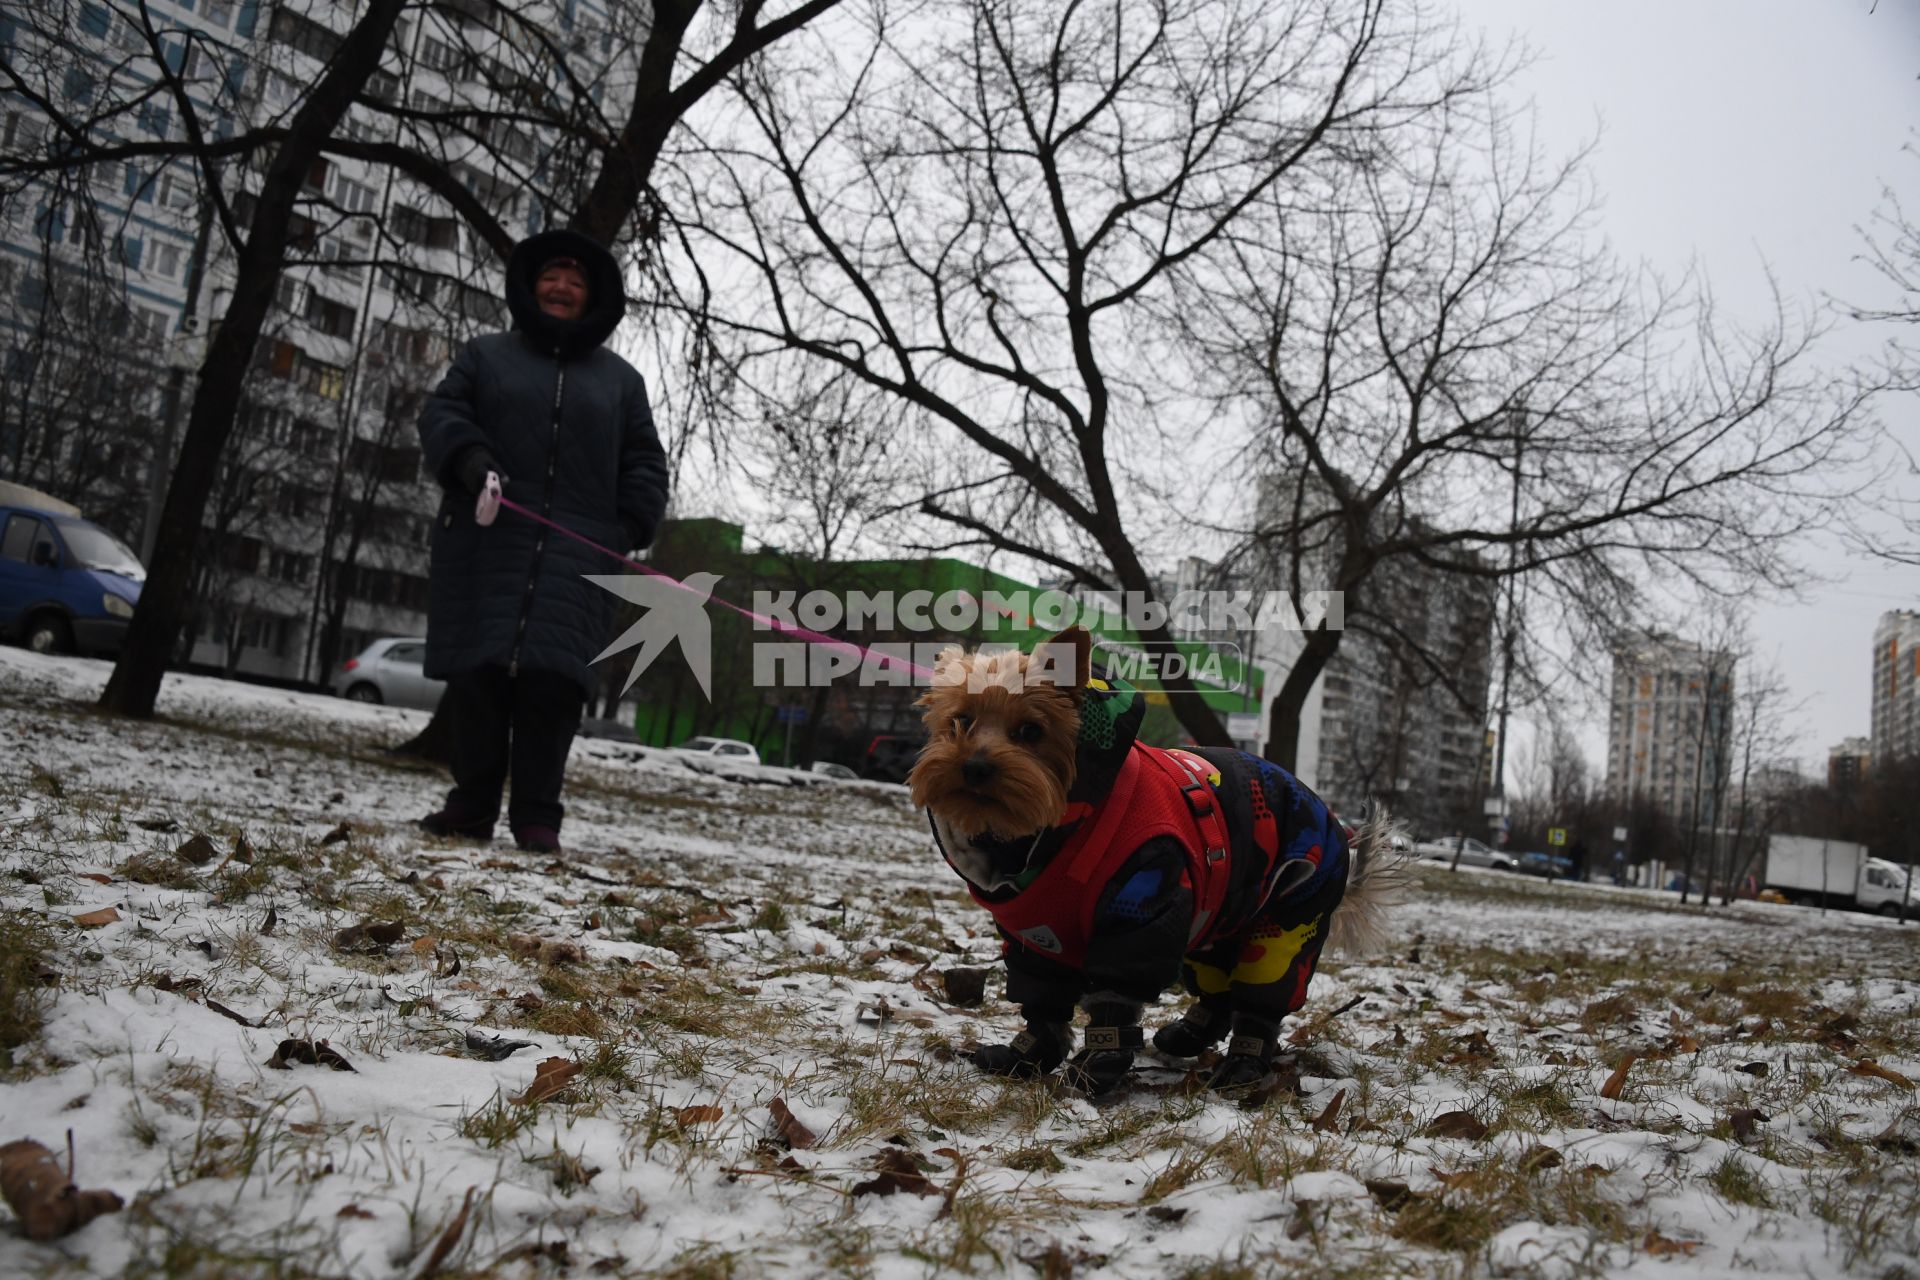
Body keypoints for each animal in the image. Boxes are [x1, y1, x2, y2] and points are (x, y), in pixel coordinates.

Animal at [906, 625, 1405, 1097]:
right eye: (961, 721)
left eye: (1031, 731)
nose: (974, 766)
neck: (1044, 832)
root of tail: (1333, 822)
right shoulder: (1032, 936)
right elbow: (1042, 1000)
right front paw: (1026, 1056)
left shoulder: (1139, 911)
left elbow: (1115, 997)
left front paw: (1097, 1066)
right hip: (1221, 917)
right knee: (1217, 986)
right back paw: (1187, 1036)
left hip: (1288, 916)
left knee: (1264, 995)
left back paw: (1242, 1066)